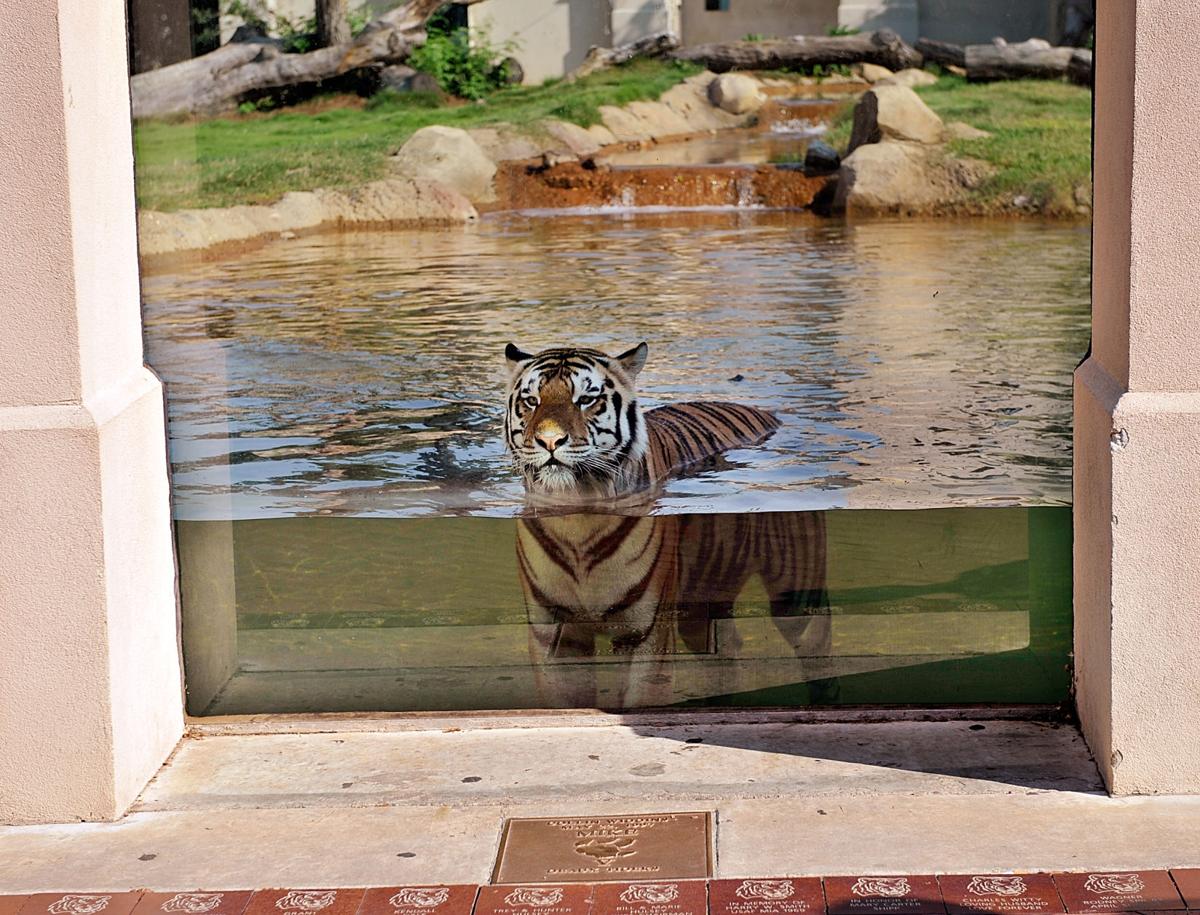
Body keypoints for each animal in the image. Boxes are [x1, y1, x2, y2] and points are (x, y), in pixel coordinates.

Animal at [503, 342, 835, 708]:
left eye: (586, 399)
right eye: (531, 400)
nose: (549, 441)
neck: (577, 519)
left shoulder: (646, 630)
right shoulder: (552, 633)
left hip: (795, 589)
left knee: (817, 644)